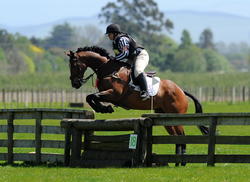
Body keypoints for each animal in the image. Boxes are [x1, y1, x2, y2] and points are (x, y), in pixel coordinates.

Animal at [66, 45, 209, 166]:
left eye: (74, 64)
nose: (75, 83)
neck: (108, 70)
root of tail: (181, 91)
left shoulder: (114, 94)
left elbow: (92, 96)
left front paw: (105, 108)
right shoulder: (107, 94)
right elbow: (90, 97)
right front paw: (104, 108)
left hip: (176, 116)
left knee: (181, 136)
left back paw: (183, 162)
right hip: (166, 119)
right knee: (175, 138)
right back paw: (177, 162)